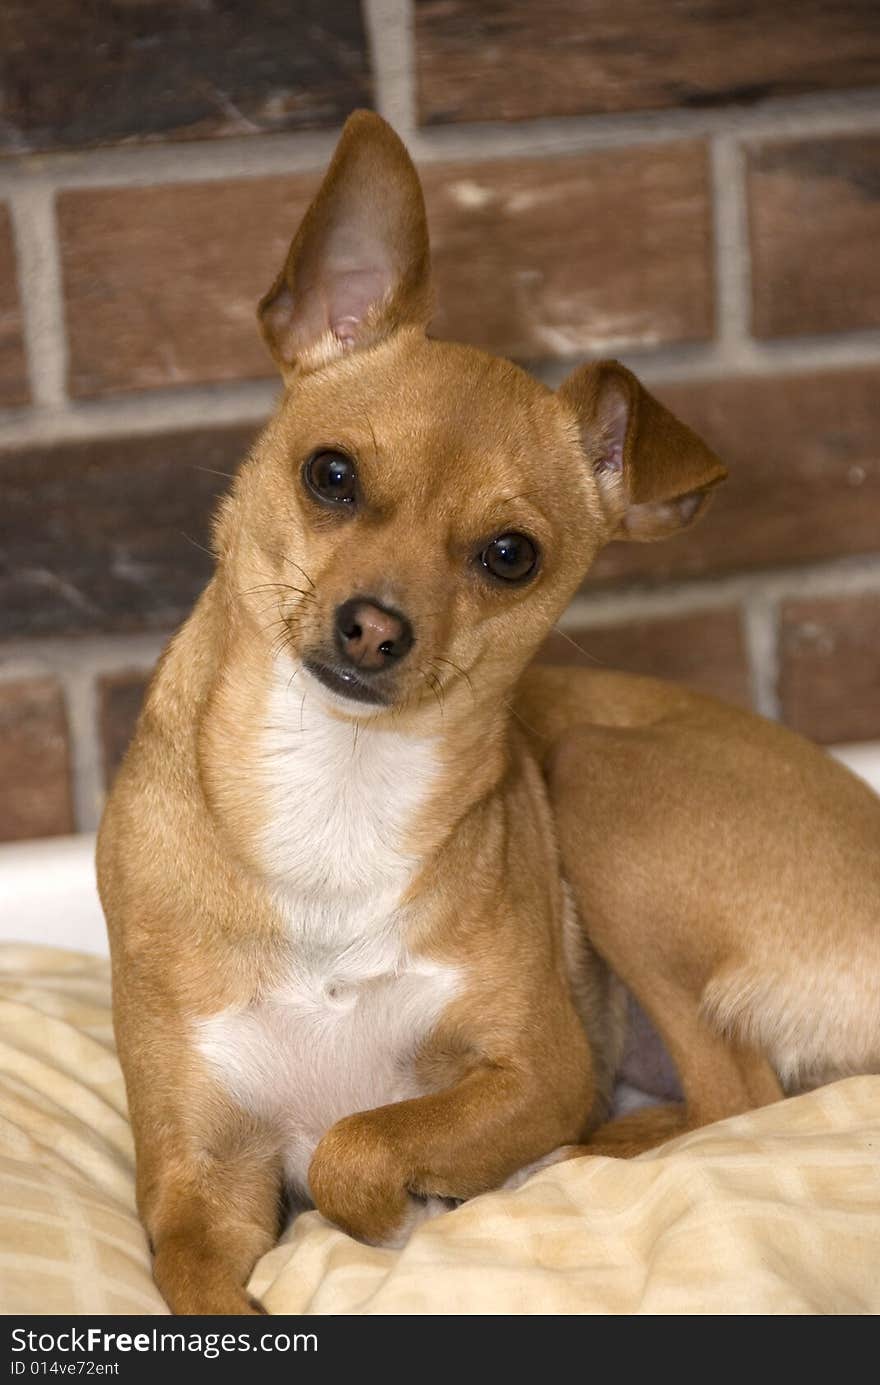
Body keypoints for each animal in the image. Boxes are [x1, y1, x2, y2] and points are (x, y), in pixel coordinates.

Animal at [99, 113, 875, 1312]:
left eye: (510, 556)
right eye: (329, 475)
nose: (374, 628)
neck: (339, 791)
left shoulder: (539, 1070)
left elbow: (357, 1140)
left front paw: (412, 1204)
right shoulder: (195, 1188)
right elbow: (217, 1271)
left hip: (607, 787)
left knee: (732, 1093)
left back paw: (577, 1155)